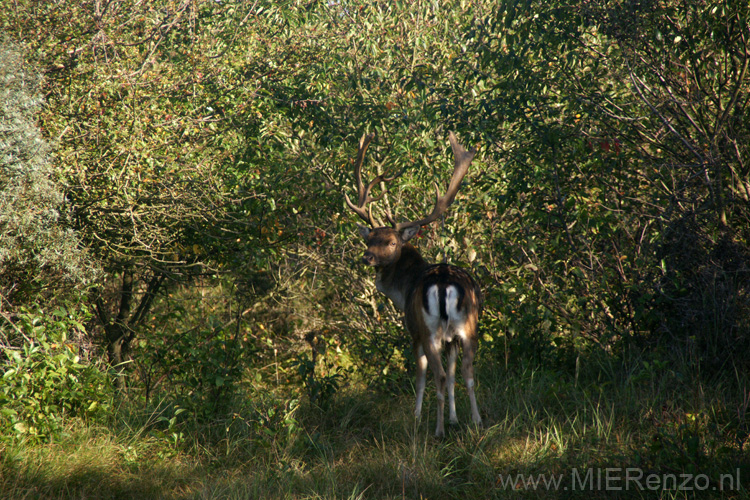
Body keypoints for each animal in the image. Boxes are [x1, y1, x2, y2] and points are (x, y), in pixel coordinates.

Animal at [346, 131, 482, 436]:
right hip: (468, 327)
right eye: (369, 239)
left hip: (429, 330)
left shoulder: (414, 332)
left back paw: (438, 430)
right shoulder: (452, 340)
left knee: (438, 375)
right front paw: (455, 418)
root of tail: (444, 284)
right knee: (467, 374)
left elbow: (420, 377)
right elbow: (454, 375)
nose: (367, 257)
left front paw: (417, 417)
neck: (403, 289)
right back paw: (477, 422)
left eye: (391, 242)